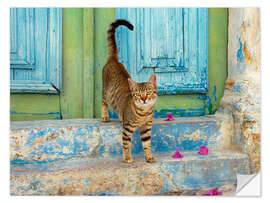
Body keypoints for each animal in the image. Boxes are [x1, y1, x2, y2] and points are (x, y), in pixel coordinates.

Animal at [101, 19, 157, 163]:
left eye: (148, 93)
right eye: (137, 95)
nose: (143, 99)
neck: (143, 113)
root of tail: (113, 60)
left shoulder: (146, 128)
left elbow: (147, 144)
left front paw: (149, 157)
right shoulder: (127, 128)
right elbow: (126, 143)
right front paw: (127, 157)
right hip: (105, 92)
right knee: (103, 102)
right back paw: (105, 116)